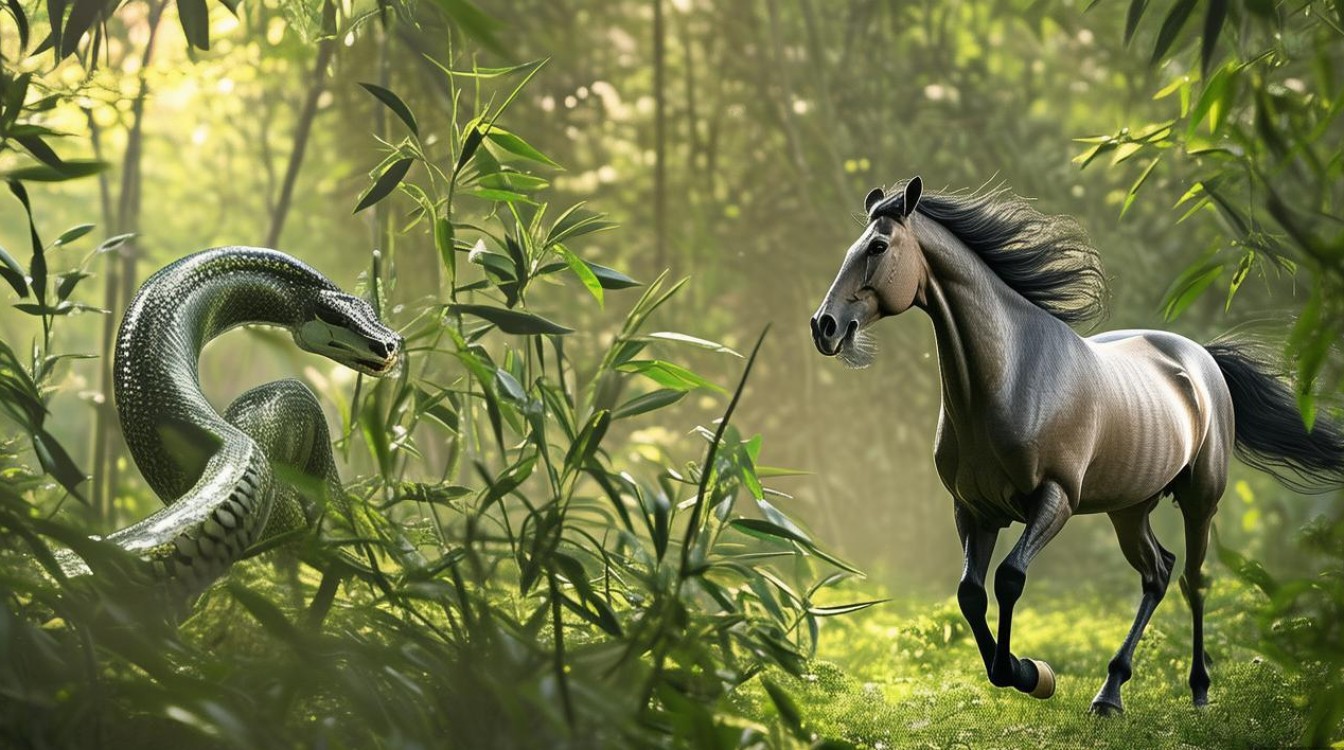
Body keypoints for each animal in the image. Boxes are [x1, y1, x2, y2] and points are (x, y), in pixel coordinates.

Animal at [808, 176, 1344, 714]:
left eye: (878, 247)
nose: (824, 326)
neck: (1008, 379)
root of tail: (1202, 358)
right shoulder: (973, 510)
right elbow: (970, 593)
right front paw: (1015, 669)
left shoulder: (1055, 499)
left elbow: (1009, 578)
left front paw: (1028, 673)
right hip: (1129, 509)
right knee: (1158, 572)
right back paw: (1110, 693)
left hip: (1200, 501)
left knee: (1194, 580)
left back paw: (1197, 690)